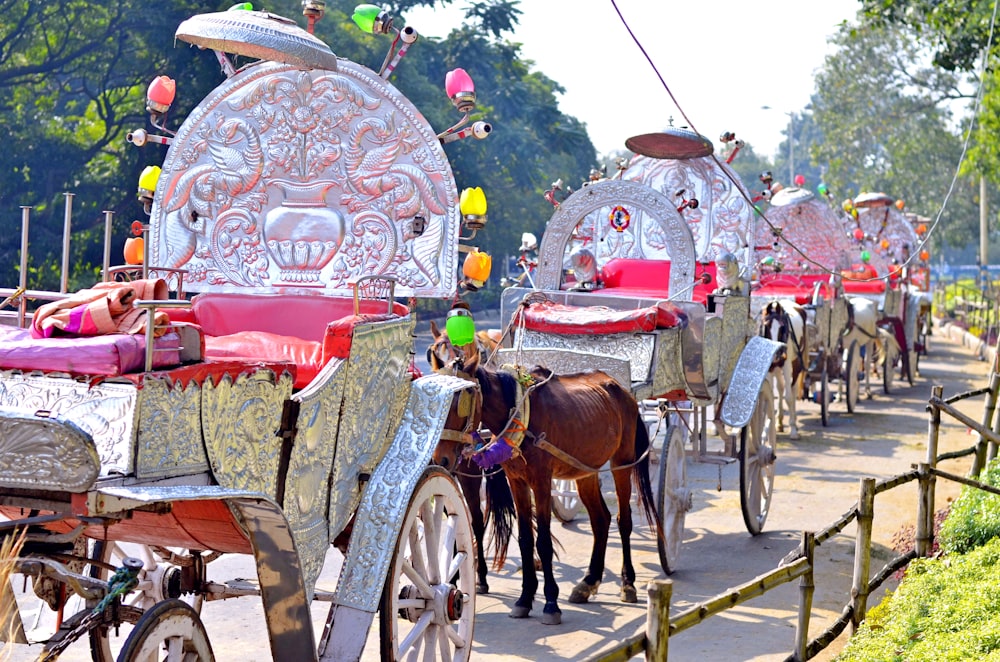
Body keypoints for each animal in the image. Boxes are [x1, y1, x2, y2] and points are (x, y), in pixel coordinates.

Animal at [428, 326, 656, 628]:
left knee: (623, 520)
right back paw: (589, 581)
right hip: (585, 470)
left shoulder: (542, 480)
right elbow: (526, 540)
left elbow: (544, 542)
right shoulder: (517, 481)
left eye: (461, 402)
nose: (439, 459)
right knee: (601, 520)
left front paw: (550, 602)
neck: (518, 411)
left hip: (622, 462)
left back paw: (627, 583)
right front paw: (525, 598)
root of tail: (619, 388)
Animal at [760, 300, 808, 440]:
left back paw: (794, 421)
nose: (777, 354)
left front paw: (793, 430)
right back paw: (780, 422)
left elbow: (789, 398)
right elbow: (770, 396)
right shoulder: (770, 368)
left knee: (792, 389)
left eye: (782, 328)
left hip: (795, 365)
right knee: (781, 388)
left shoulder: (787, 367)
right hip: (777, 368)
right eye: (766, 326)